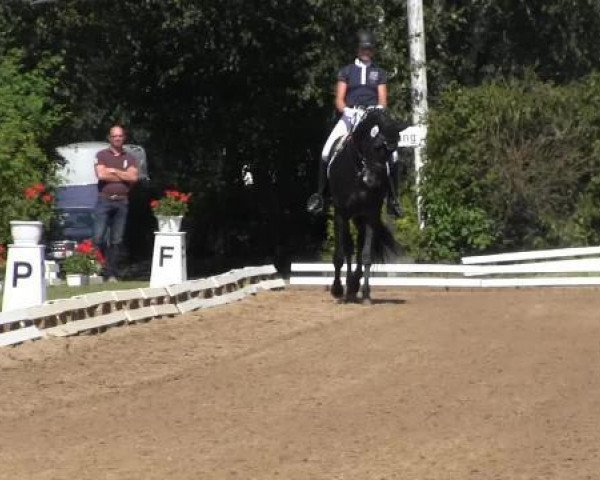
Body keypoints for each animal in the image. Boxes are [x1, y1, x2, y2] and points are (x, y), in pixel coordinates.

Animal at [328, 109, 408, 304]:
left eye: (393, 151)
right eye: (377, 146)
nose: (371, 181)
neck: (357, 170)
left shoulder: (371, 215)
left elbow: (366, 256)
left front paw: (364, 293)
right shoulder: (341, 213)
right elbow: (340, 255)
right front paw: (337, 290)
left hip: (360, 218)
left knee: (357, 248)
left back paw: (354, 286)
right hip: (349, 217)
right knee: (348, 248)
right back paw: (347, 289)